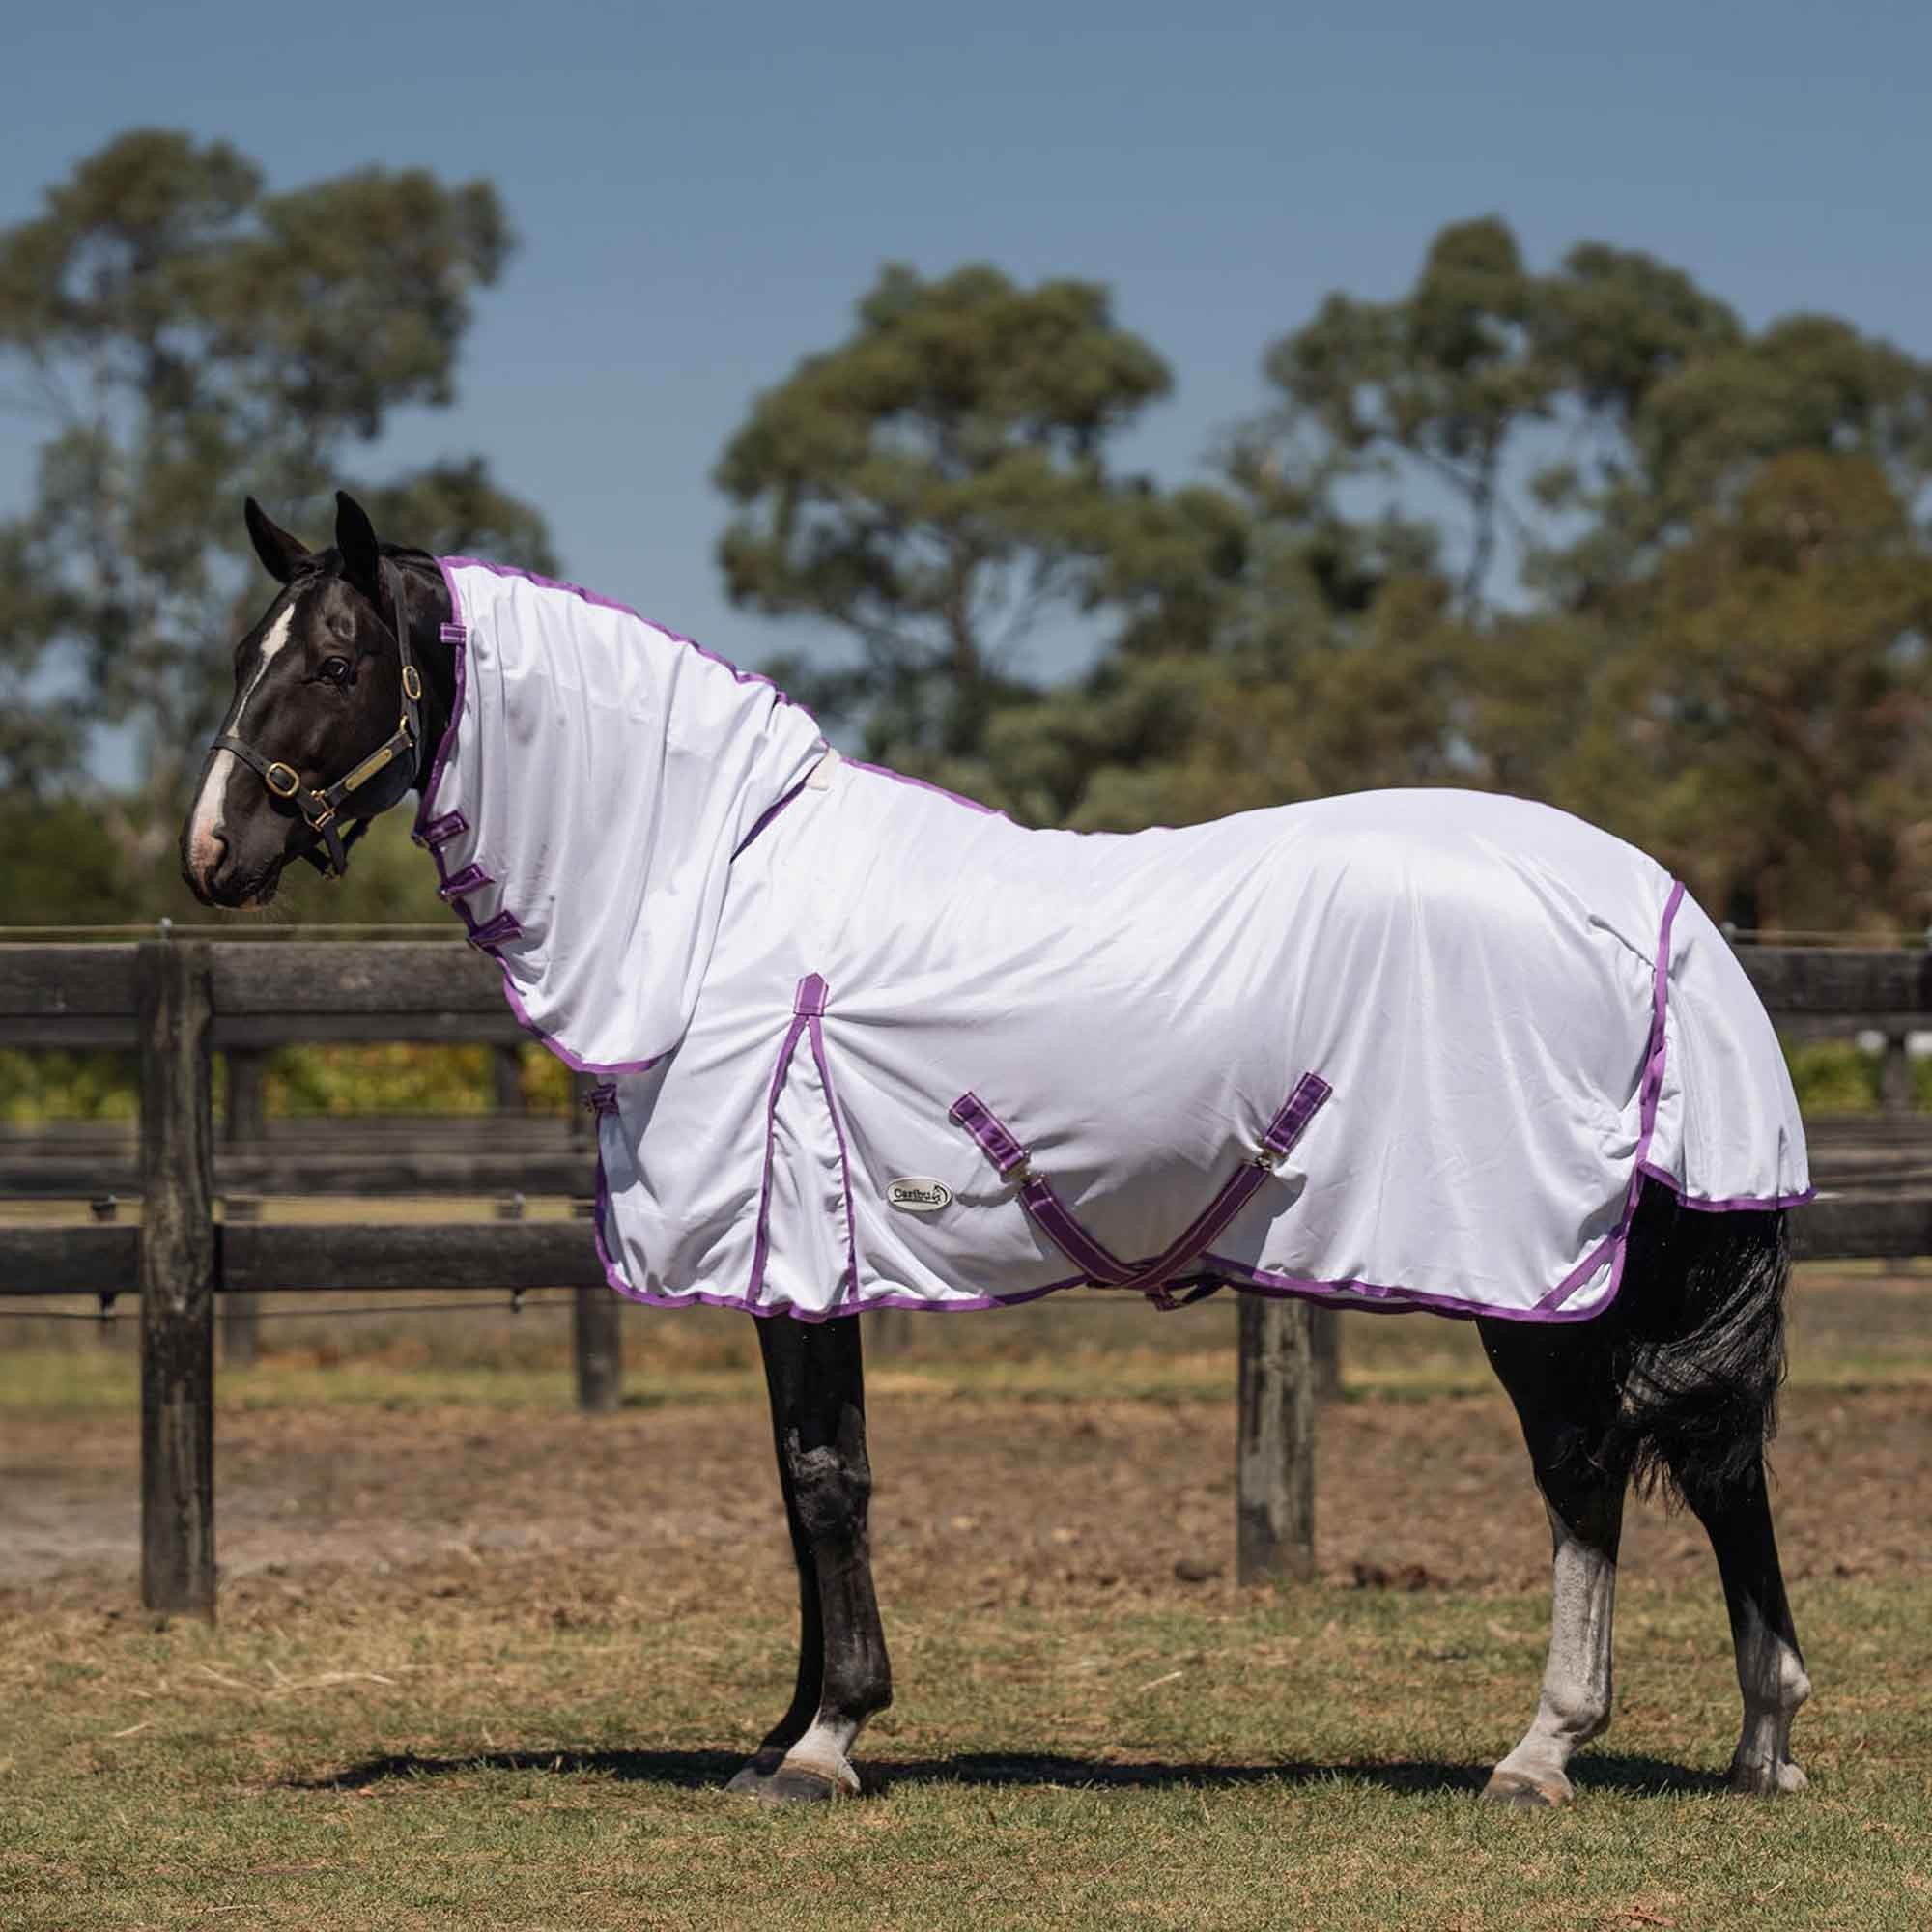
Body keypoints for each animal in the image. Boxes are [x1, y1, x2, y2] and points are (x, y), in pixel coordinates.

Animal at [182, 491, 1814, 1807]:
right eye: (248, 652)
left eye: (333, 662)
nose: (212, 854)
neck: (716, 891)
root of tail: (1652, 908)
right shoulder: (800, 1262)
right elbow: (801, 1479)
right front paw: (782, 1731)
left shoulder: (789, 1238)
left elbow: (825, 1477)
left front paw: (826, 1742)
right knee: (1719, 1460)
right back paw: (1762, 1743)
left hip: (1528, 1274)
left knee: (1589, 1469)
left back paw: (1544, 1750)